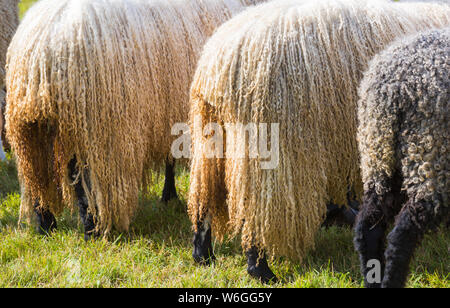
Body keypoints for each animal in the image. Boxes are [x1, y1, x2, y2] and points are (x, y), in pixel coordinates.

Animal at [5, 0, 266, 238]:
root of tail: (43, 51)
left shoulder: (167, 114)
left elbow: (170, 157)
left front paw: (168, 195)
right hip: (91, 126)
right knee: (82, 178)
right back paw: (91, 228)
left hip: (29, 127)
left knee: (36, 176)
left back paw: (45, 225)